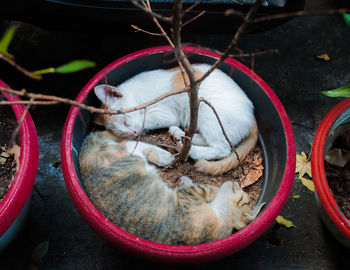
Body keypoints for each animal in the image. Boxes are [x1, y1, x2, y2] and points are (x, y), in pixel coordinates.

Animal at [79, 130, 266, 246]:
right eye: (246, 197)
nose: (238, 185)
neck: (222, 218)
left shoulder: (189, 200)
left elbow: (202, 188)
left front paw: (187, 182)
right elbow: (204, 188)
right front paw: (186, 180)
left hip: (129, 158)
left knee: (127, 144)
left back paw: (164, 155)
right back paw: (166, 154)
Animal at [93, 63, 258, 175]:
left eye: (125, 122)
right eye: (122, 134)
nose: (134, 134)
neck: (137, 95)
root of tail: (253, 117)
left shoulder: (164, 113)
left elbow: (149, 119)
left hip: (207, 112)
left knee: (222, 149)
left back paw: (190, 149)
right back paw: (179, 135)